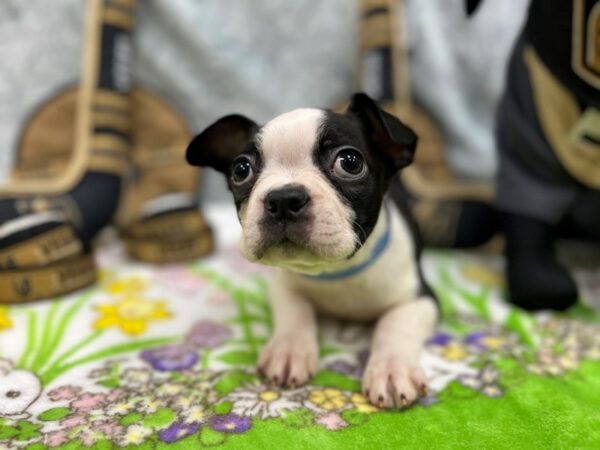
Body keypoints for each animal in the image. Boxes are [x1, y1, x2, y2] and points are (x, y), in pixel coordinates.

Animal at [188, 92, 440, 408]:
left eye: (350, 162)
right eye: (241, 170)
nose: (283, 198)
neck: (337, 271)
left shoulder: (421, 298)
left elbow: (395, 323)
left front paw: (392, 369)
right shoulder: (282, 286)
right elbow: (295, 310)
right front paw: (289, 350)